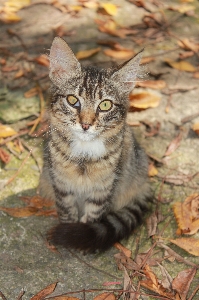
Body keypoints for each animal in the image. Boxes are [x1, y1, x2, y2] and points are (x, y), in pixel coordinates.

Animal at [38, 37, 151, 253]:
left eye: (105, 105)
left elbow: (93, 216)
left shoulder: (104, 187)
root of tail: (146, 185)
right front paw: (70, 232)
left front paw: (80, 237)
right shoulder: (61, 183)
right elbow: (67, 211)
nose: (86, 124)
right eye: (72, 100)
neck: (84, 153)